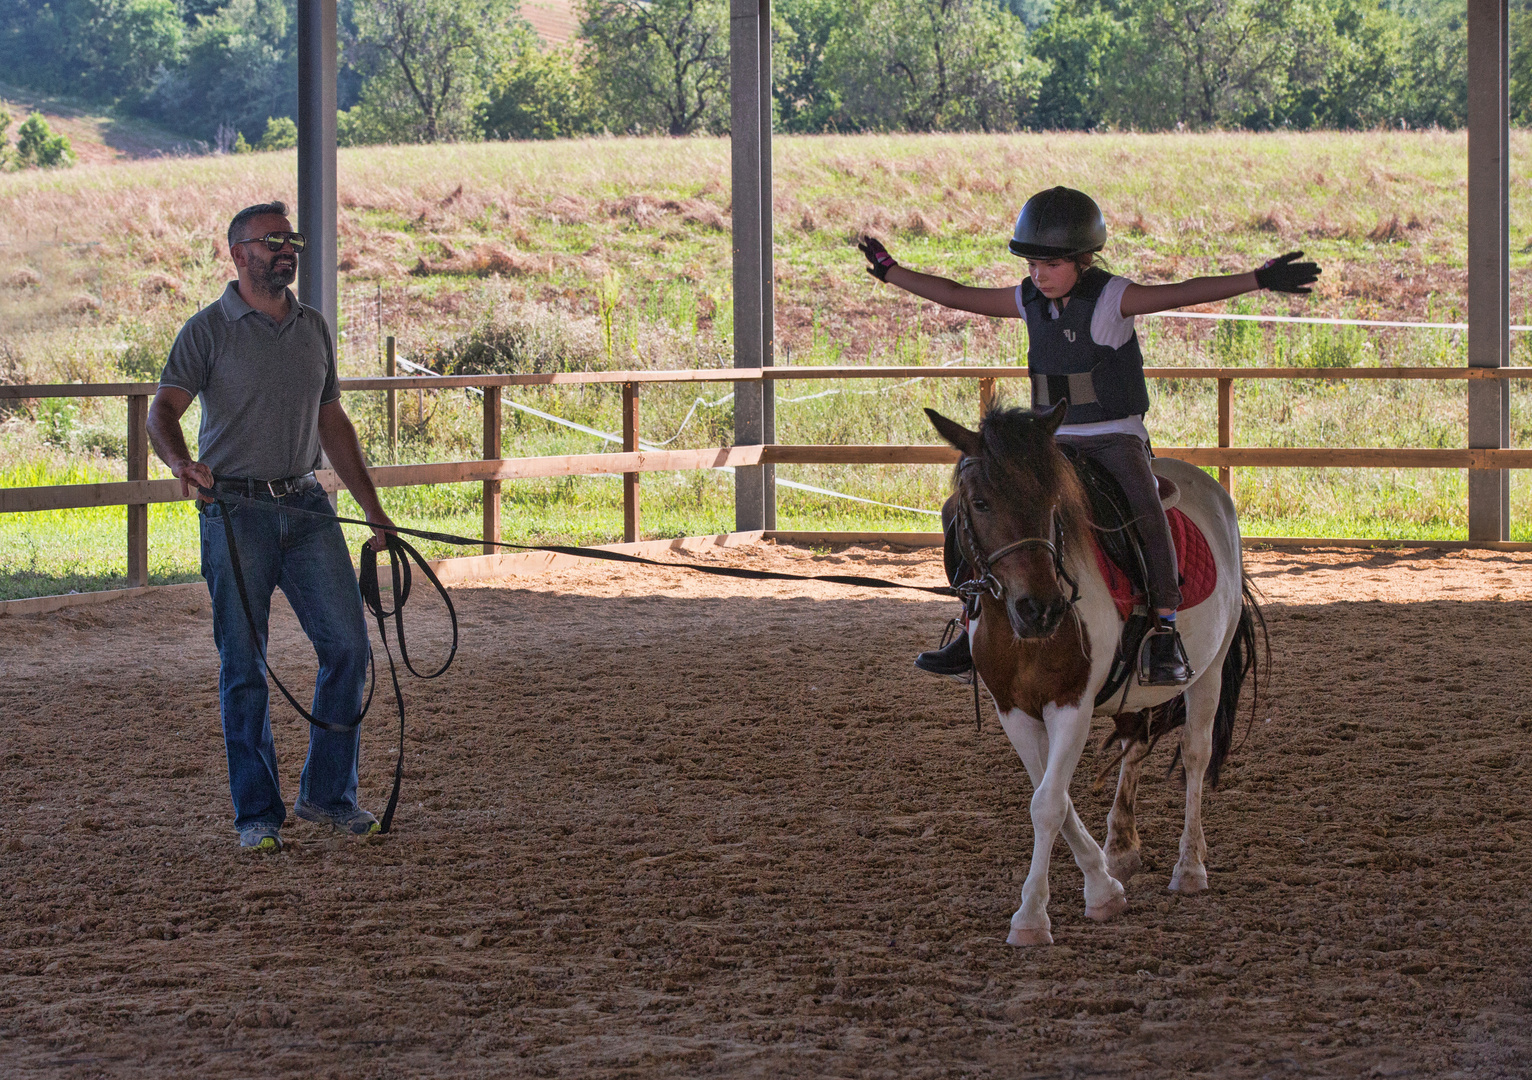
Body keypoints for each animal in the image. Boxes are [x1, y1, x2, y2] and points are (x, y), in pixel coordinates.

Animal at [925, 401, 1262, 943]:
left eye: (1054, 501)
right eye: (978, 502)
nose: (1040, 610)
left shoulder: (1072, 705)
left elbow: (1049, 803)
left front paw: (1034, 917)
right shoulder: (1013, 710)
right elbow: (1054, 798)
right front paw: (1103, 884)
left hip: (1209, 670)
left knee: (1195, 755)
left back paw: (1190, 867)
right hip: (1134, 694)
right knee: (1135, 743)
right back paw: (1121, 848)